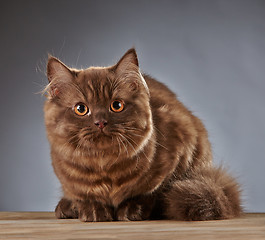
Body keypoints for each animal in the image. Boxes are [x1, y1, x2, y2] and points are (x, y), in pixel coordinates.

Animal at [43, 48, 241, 221]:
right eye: (81, 109)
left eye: (116, 105)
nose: (100, 122)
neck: (105, 165)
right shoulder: (67, 178)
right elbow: (83, 195)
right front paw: (93, 210)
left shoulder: (180, 148)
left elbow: (151, 192)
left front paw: (131, 210)